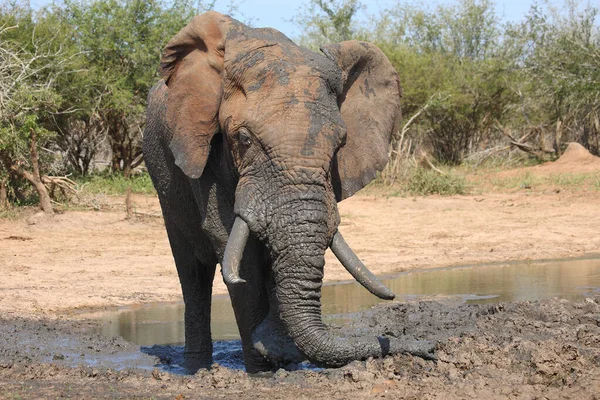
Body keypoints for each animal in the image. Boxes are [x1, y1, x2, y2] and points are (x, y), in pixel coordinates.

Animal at [144, 10, 436, 374]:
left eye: (340, 143)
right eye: (243, 139)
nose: (432, 349)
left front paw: (279, 354)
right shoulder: (204, 152)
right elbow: (232, 245)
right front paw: (263, 366)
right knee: (192, 272)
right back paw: (197, 369)